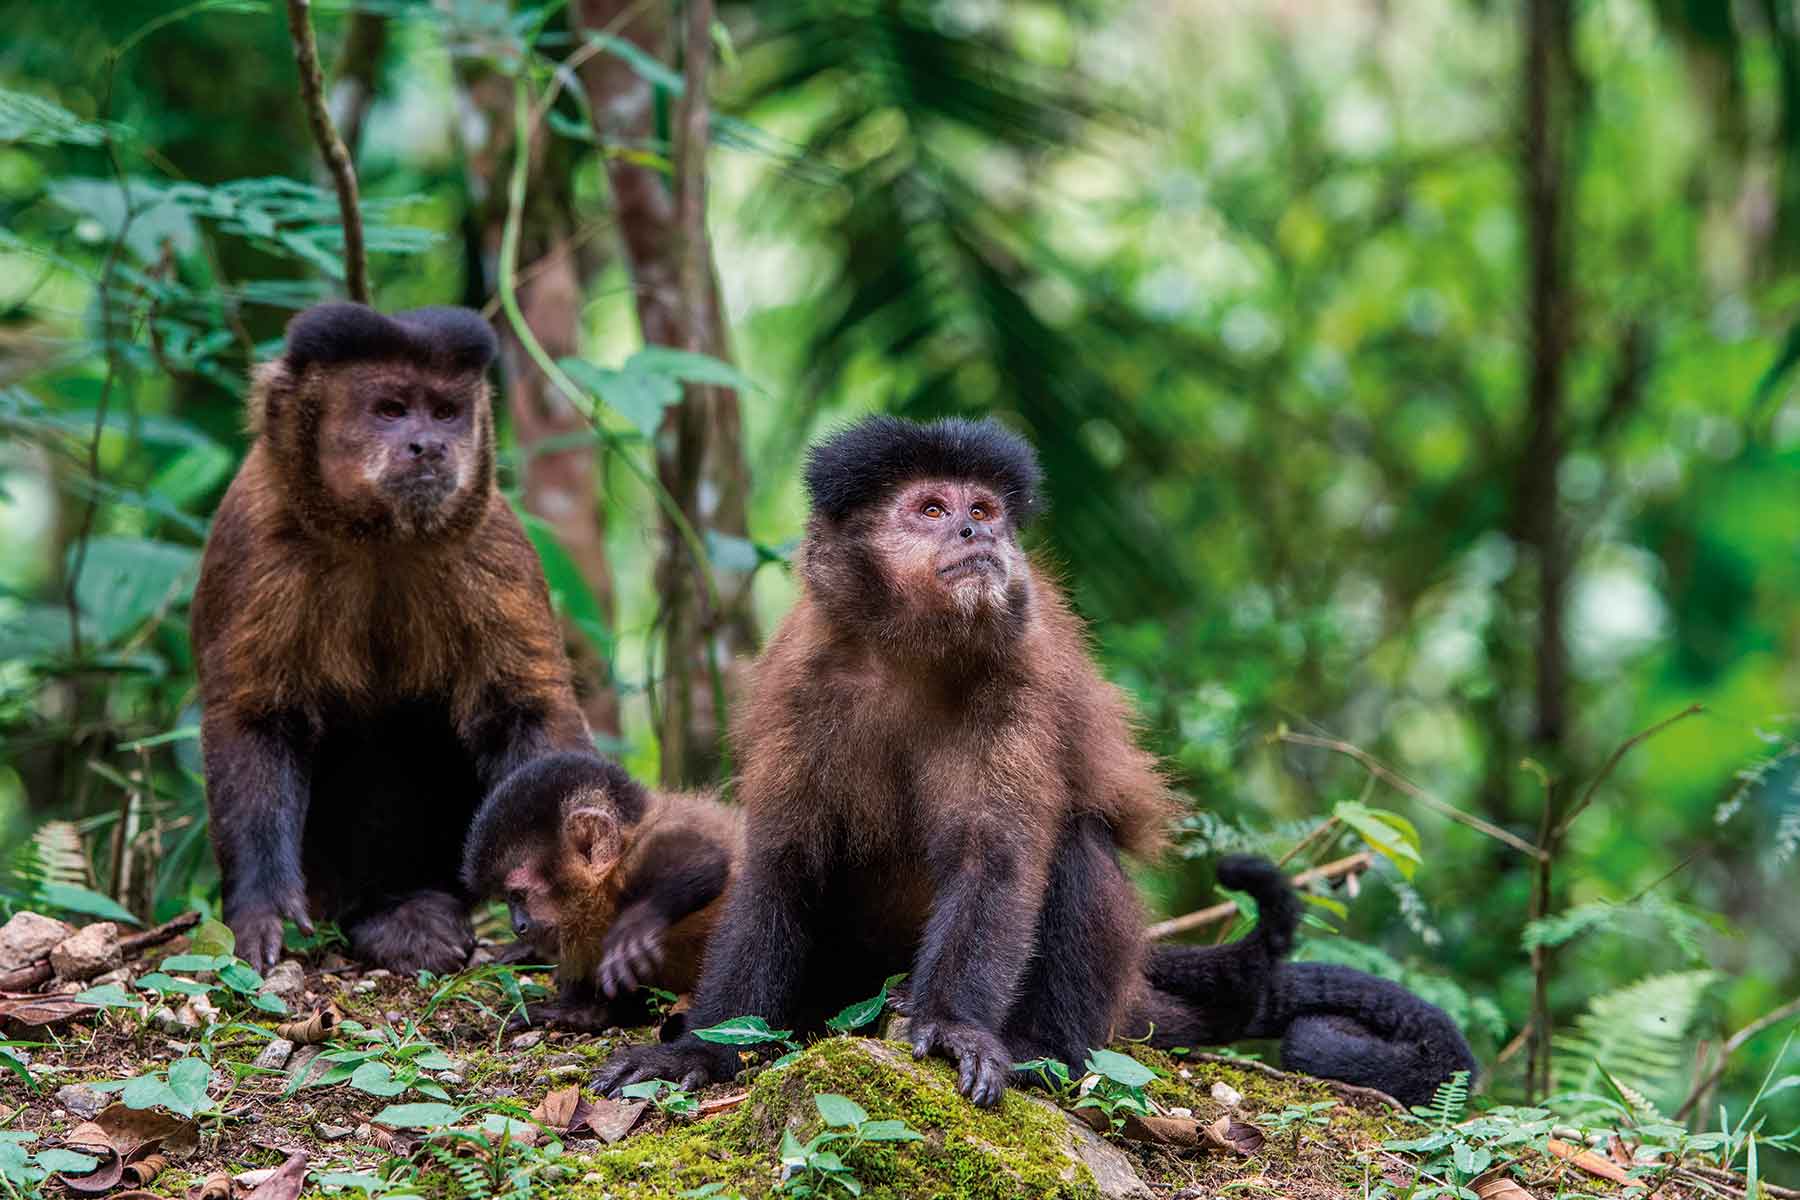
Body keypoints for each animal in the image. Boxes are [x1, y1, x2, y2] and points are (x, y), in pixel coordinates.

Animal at [188, 300, 590, 978]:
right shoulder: (252, 536)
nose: (429, 445)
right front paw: (259, 909)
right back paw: (384, 915)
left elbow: (523, 709)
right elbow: (255, 716)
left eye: (447, 412)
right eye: (392, 410)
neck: (380, 538)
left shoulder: (492, 540)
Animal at [468, 752, 748, 1036]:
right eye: (507, 900)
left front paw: (637, 921)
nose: (517, 926)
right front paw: (577, 1013)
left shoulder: (642, 855)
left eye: (518, 895)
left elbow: (708, 858)